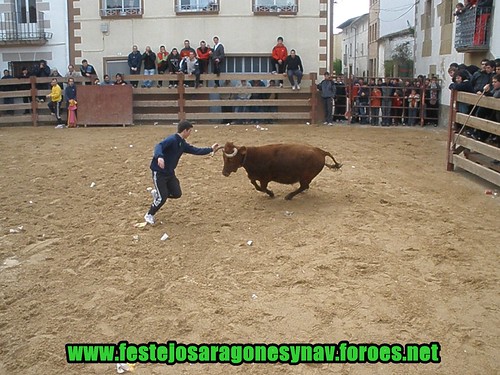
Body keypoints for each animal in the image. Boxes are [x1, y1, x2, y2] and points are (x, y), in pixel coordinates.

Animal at [213, 142, 342, 200]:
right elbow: (255, 184)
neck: (252, 157)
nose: (224, 173)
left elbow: (263, 187)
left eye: (230, 159)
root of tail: (321, 152)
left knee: (304, 186)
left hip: (305, 177)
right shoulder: (254, 176)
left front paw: (271, 193)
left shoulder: (264, 179)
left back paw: (289, 196)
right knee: (305, 187)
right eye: (224, 158)